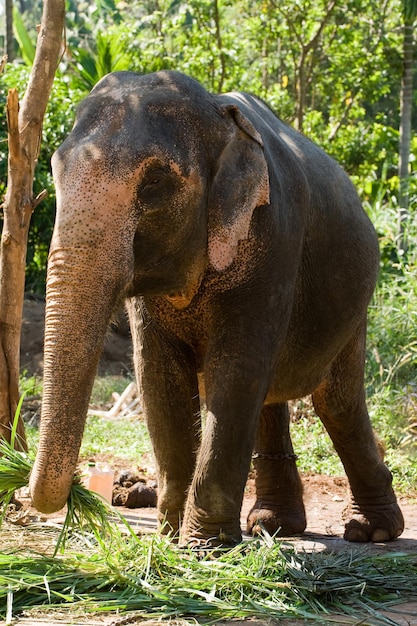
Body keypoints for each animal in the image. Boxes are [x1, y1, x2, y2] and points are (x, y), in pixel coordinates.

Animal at [26, 69, 404, 544]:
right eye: (55, 169)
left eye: (155, 182)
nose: (80, 486)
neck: (218, 116)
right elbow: (158, 377)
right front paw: (170, 536)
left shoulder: (275, 237)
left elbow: (236, 370)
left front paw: (204, 545)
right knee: (273, 398)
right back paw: (273, 525)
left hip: (355, 307)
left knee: (337, 402)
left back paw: (372, 531)